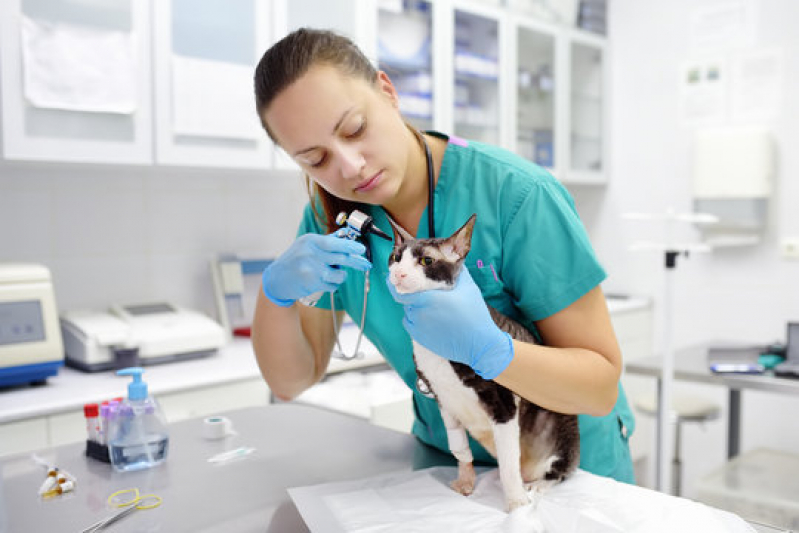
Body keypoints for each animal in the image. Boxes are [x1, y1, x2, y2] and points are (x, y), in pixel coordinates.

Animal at [390, 214, 580, 510]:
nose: (398, 273)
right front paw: (466, 480)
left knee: (558, 470)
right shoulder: (444, 400)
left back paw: (537, 485)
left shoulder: (503, 404)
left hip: (558, 423)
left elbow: (508, 464)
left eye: (426, 261)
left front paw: (516, 504)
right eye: (396, 257)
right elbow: (459, 447)